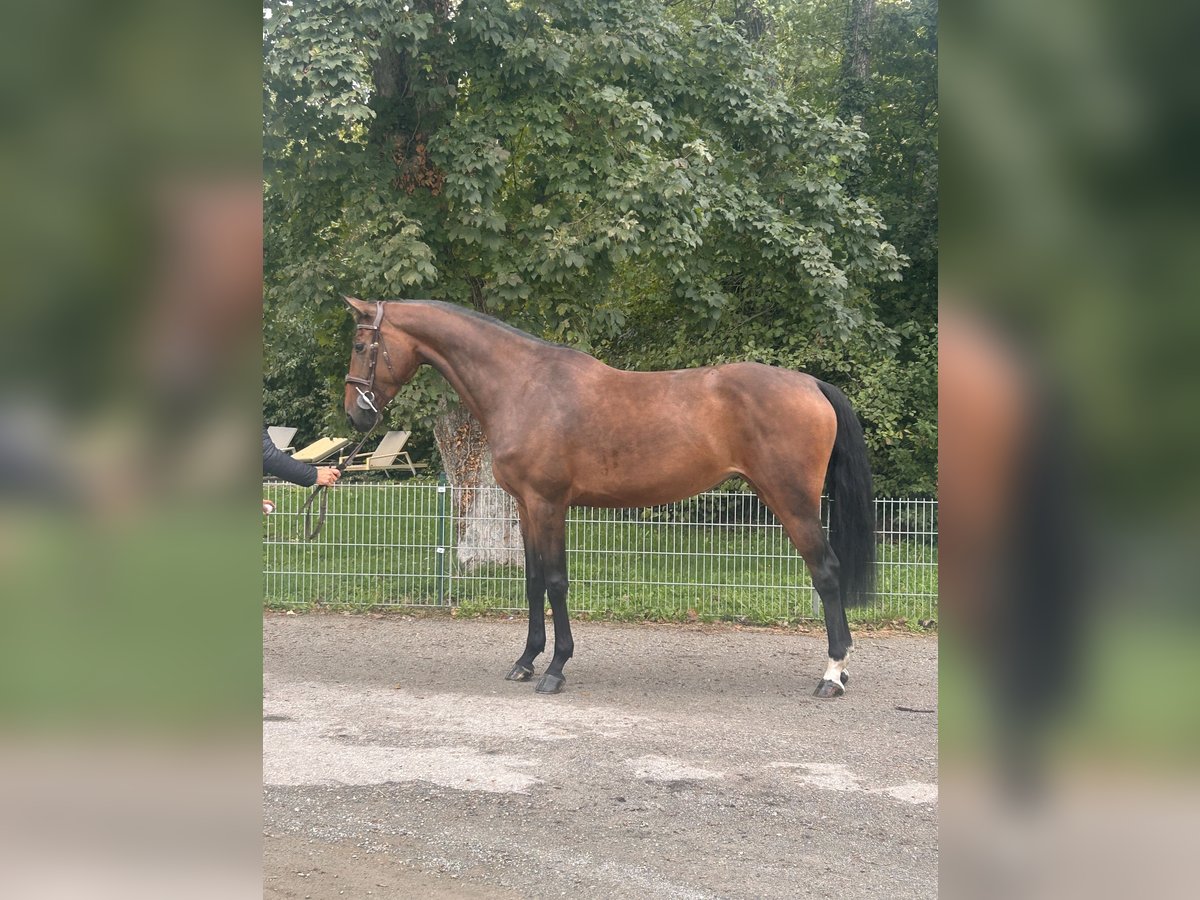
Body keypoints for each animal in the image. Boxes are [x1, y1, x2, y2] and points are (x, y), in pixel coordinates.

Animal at [343, 300, 878, 700]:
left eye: (360, 344)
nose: (355, 416)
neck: (524, 385)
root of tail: (811, 383)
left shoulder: (548, 505)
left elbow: (555, 582)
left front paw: (556, 669)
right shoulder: (526, 508)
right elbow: (533, 582)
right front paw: (525, 661)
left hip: (793, 502)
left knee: (826, 574)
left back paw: (833, 675)